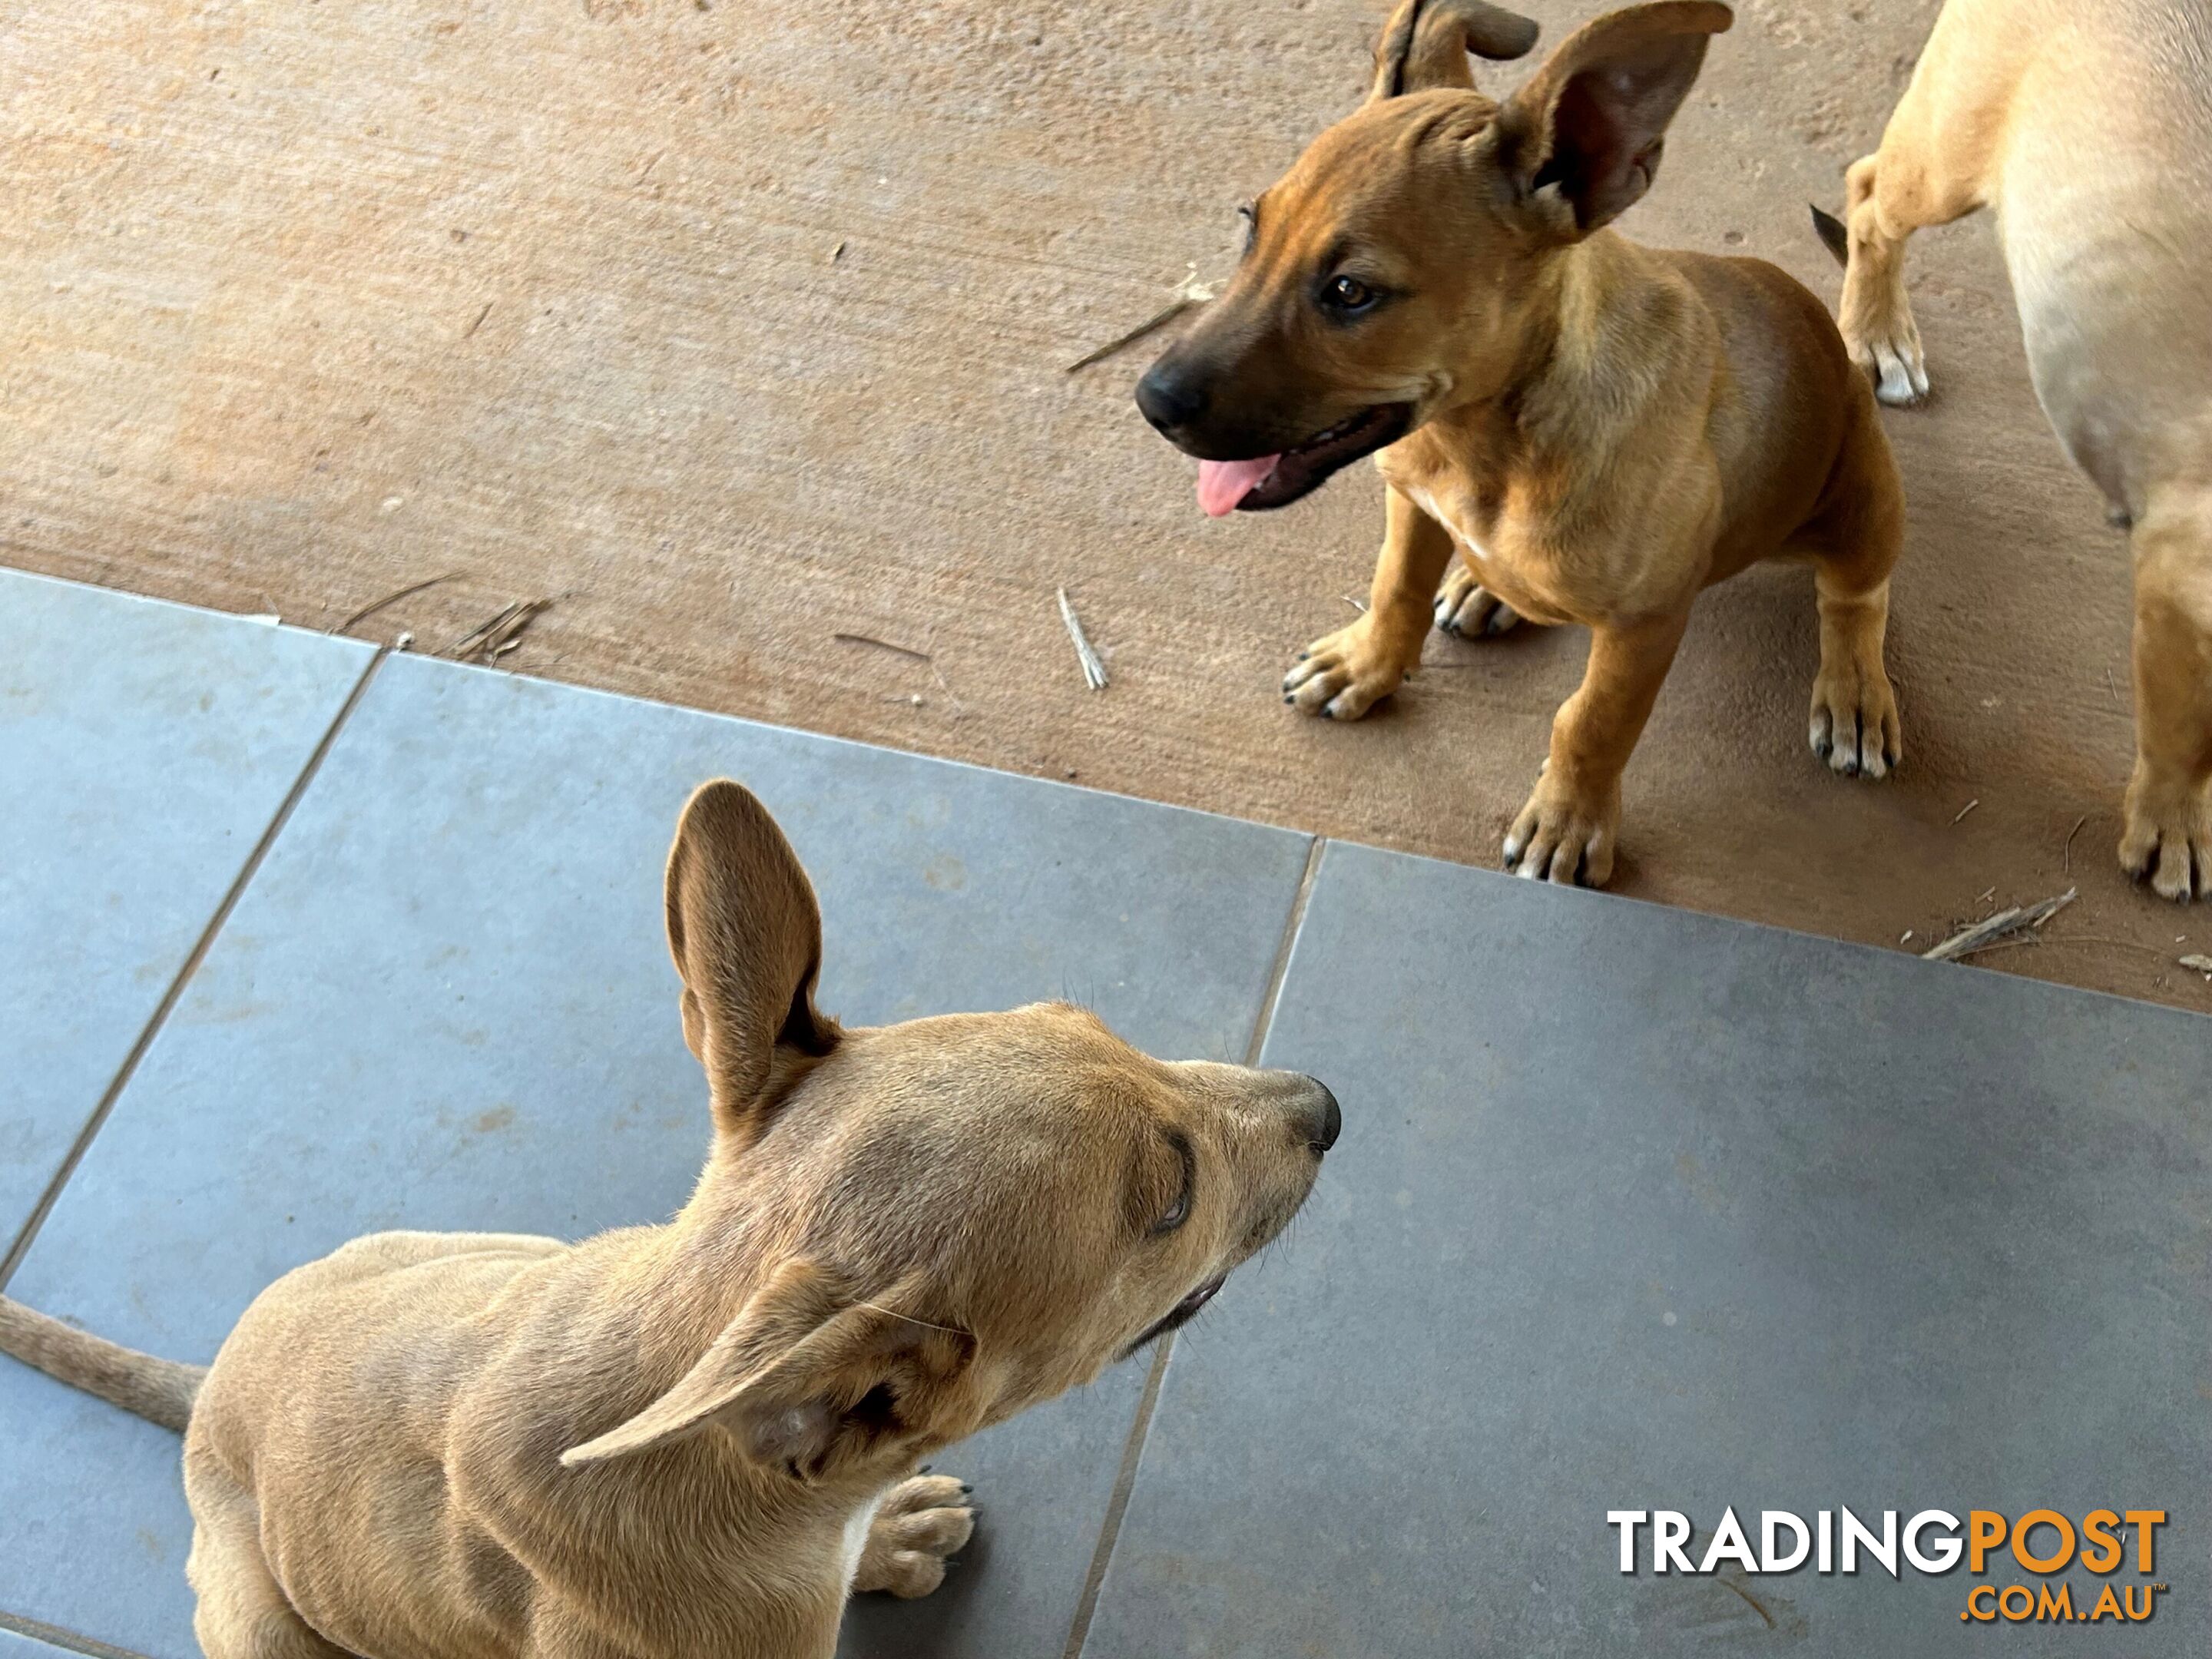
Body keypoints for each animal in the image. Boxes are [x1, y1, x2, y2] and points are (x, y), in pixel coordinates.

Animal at [0, 787, 1336, 1659]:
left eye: (1096, 1024)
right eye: (1170, 1198)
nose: (1327, 1107)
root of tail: (208, 1393)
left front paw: (889, 1539)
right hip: (262, 1619)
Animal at [1141, 0, 1902, 889]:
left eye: (1350, 292)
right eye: (1249, 229)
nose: (1150, 401)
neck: (1488, 444)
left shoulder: (1645, 624)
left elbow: (1592, 721)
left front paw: (1569, 822)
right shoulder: (1413, 501)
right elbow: (1396, 587)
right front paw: (1366, 663)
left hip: (1862, 497)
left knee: (1854, 597)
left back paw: (1854, 691)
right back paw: (1484, 586)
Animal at [1813, 0, 2212, 902]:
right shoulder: (2182, 590)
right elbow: (2185, 737)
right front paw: (2174, 830)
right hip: (1945, 157)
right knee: (1870, 197)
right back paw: (1879, 335)